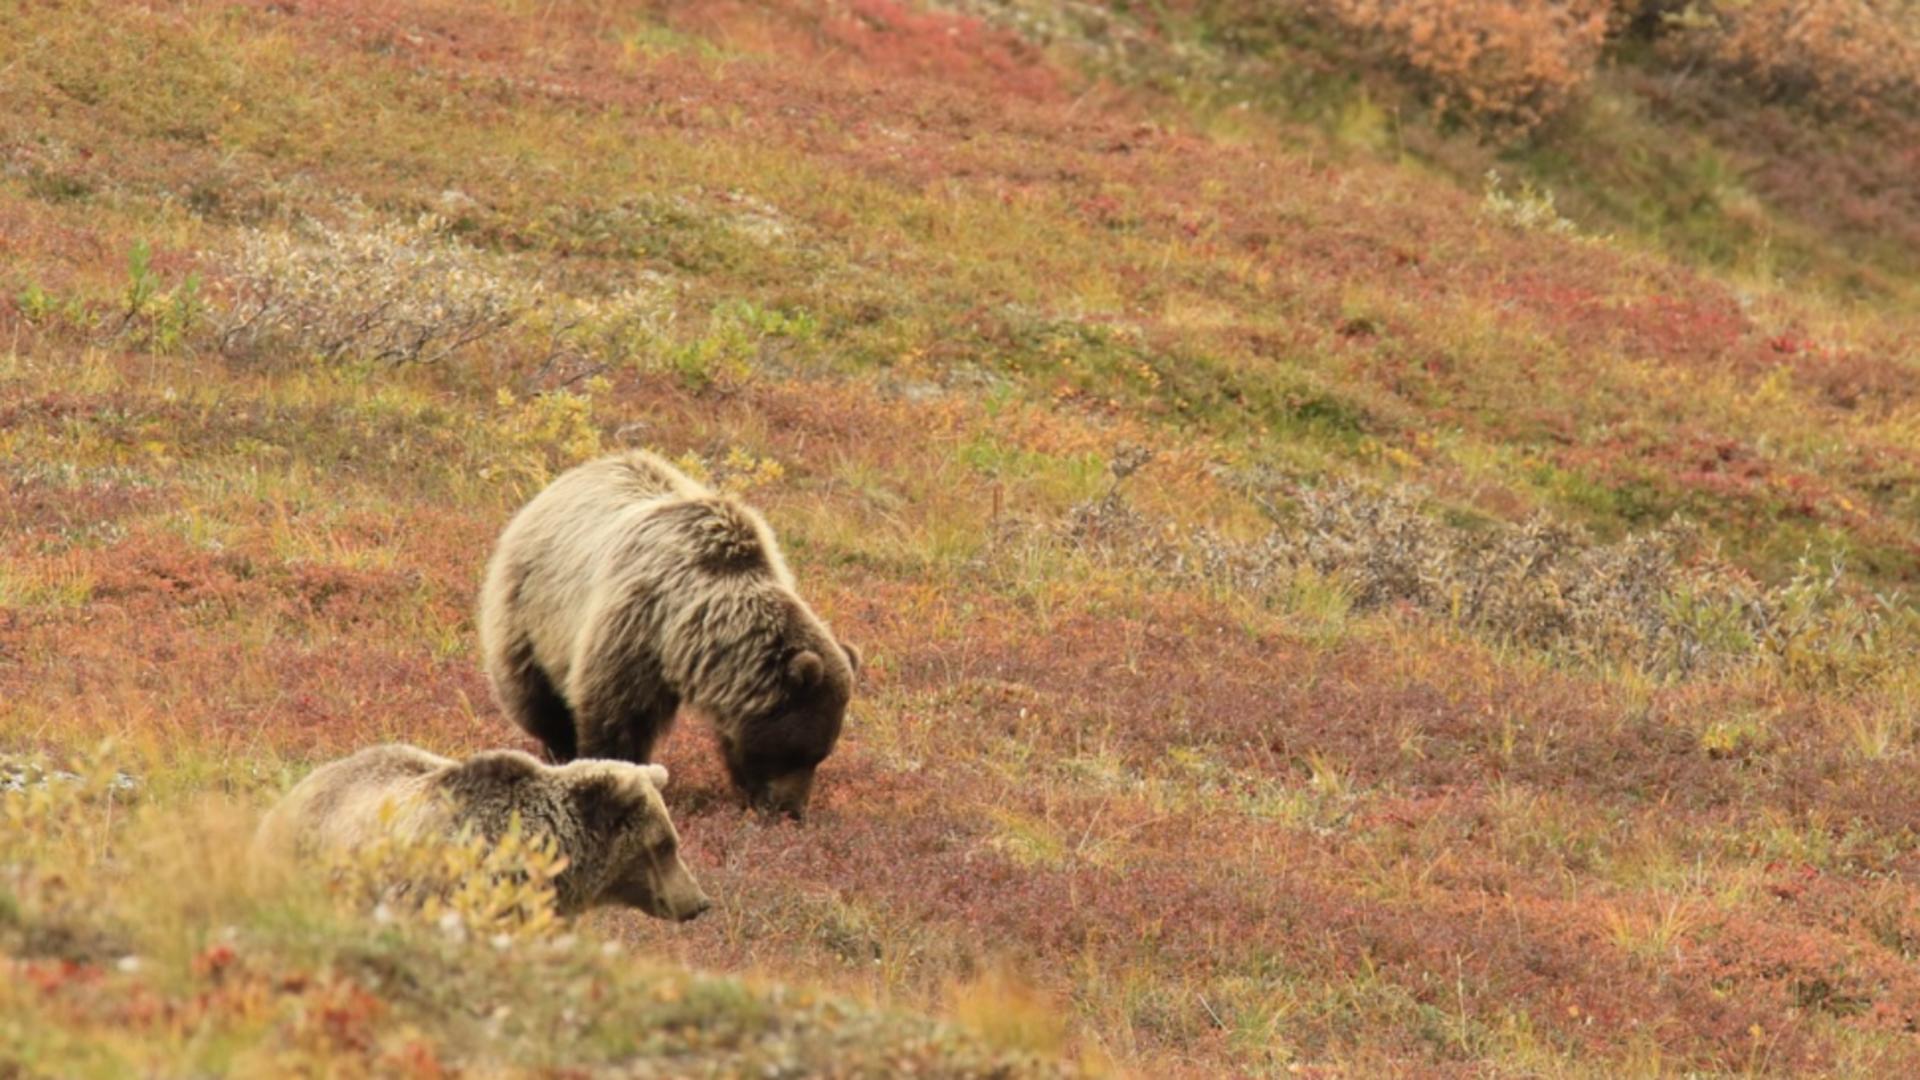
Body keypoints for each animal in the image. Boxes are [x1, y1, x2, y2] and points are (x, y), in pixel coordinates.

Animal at [480, 447, 864, 814]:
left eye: (821, 754)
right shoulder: (635, 625)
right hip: (528, 607)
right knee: (534, 694)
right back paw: (556, 749)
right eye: (798, 752)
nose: (792, 810)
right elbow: (616, 715)